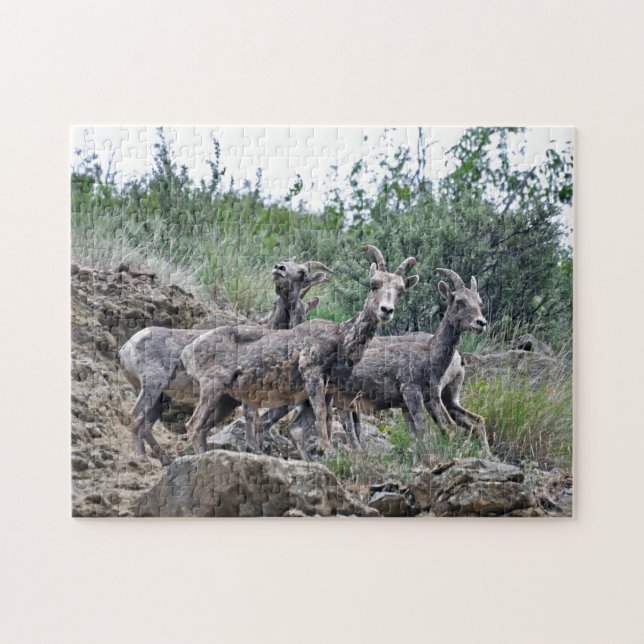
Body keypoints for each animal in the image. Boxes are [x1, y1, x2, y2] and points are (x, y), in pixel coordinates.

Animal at [118, 259, 330, 464]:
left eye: (302, 272)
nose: (279, 269)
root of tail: (126, 347)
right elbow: (252, 421)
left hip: (161, 398)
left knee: (145, 426)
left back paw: (166, 461)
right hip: (154, 386)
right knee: (137, 417)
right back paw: (142, 459)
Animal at [182, 245, 419, 456]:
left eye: (400, 290)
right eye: (373, 284)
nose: (386, 310)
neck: (341, 340)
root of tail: (189, 350)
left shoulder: (329, 389)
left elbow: (321, 420)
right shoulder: (311, 374)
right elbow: (321, 414)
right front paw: (327, 449)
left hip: (226, 399)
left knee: (202, 429)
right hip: (213, 387)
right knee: (193, 426)